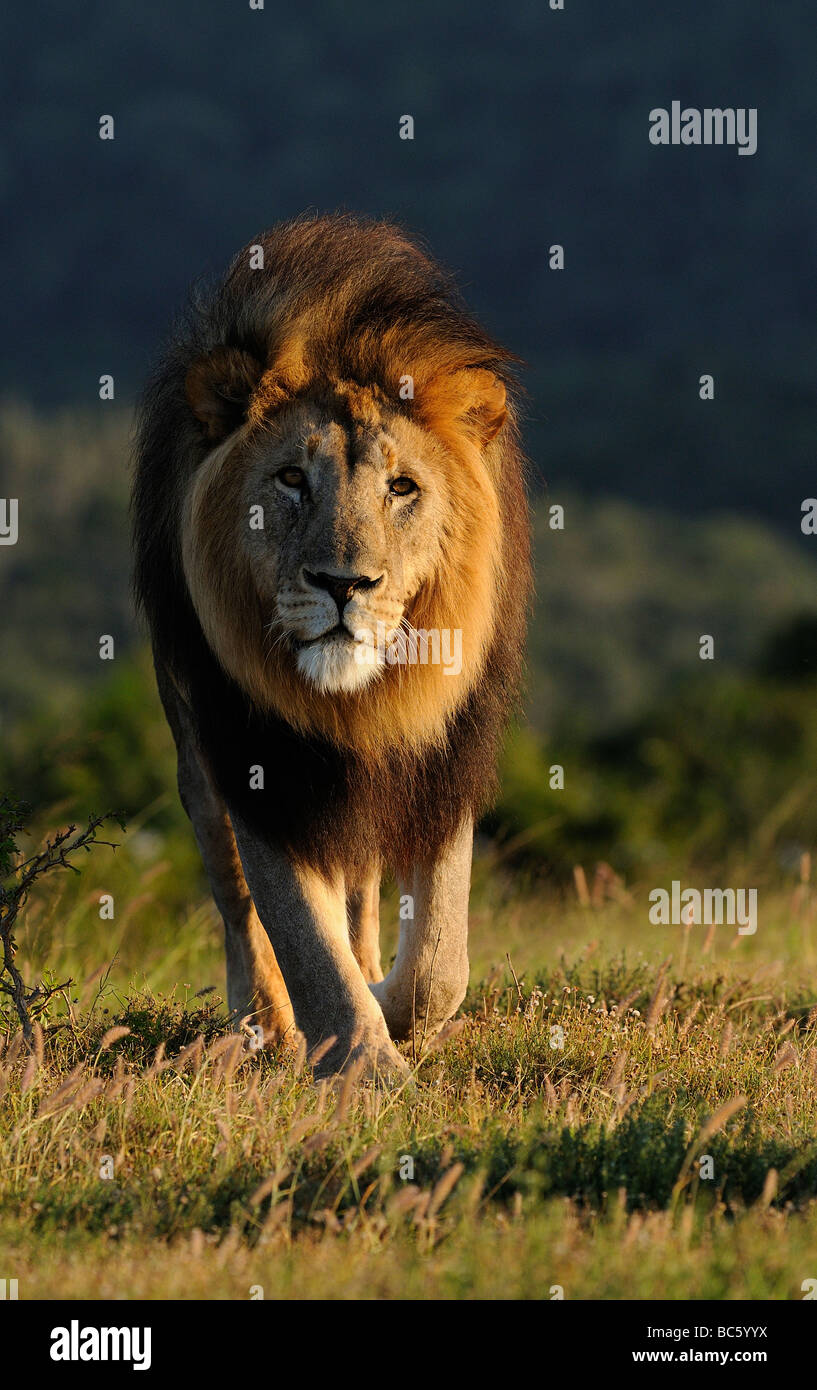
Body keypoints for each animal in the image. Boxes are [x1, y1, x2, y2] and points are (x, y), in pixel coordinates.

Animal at [133, 214, 530, 1077]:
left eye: (401, 487)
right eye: (290, 479)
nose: (344, 584)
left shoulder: (445, 751)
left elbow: (438, 958)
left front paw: (393, 1012)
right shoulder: (254, 752)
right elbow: (299, 930)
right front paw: (361, 1064)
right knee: (234, 893)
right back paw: (266, 1028)